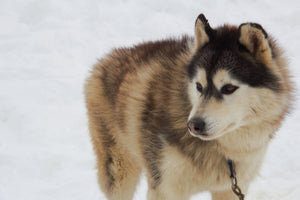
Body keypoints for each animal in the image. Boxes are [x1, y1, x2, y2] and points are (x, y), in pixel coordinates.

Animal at [84, 13, 292, 199]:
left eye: (229, 88)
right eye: (199, 86)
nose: (194, 125)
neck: (222, 151)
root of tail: (108, 58)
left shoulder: (230, 188)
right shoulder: (165, 188)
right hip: (120, 172)